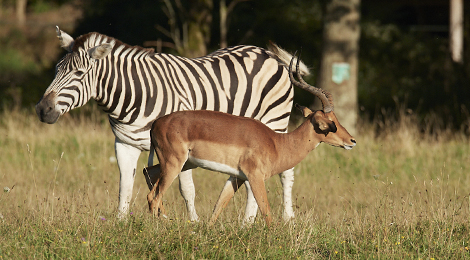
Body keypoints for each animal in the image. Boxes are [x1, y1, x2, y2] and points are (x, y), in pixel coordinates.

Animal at [35, 25, 312, 221]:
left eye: (79, 73)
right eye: (57, 69)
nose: (42, 110)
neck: (136, 95)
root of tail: (267, 53)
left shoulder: (183, 147)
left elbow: (186, 188)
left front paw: (193, 224)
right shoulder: (124, 144)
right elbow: (125, 188)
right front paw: (121, 224)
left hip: (276, 120)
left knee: (286, 172)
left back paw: (278, 220)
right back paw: (251, 221)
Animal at [145, 56, 354, 225]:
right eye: (331, 122)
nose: (352, 141)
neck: (277, 143)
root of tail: (156, 123)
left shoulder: (236, 177)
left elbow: (217, 208)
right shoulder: (255, 176)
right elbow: (266, 212)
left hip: (182, 163)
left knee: (148, 176)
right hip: (174, 163)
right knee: (154, 196)